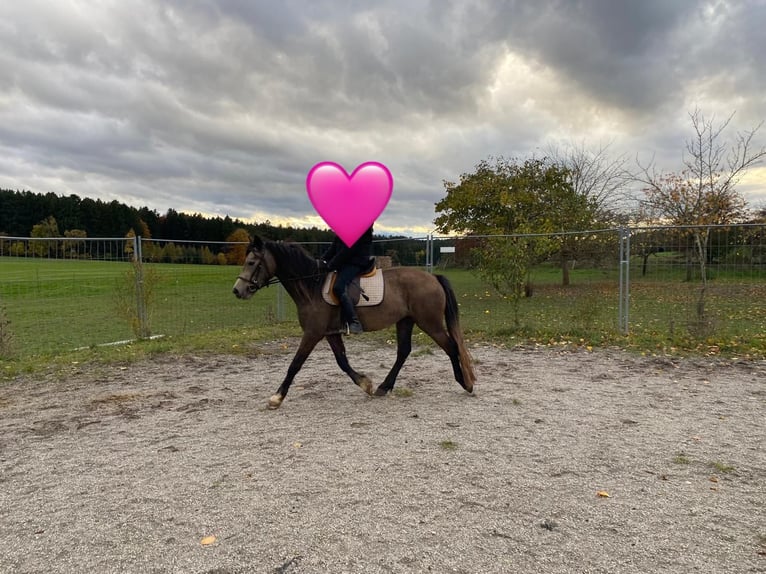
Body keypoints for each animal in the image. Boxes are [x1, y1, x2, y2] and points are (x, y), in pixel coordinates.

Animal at [232, 236, 475, 409]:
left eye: (251, 262)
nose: (237, 290)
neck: (312, 286)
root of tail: (433, 277)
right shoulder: (330, 333)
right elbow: (342, 361)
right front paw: (365, 384)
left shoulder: (313, 332)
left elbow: (295, 364)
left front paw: (277, 397)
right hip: (406, 321)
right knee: (404, 351)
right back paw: (383, 387)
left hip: (429, 322)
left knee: (451, 347)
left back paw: (466, 383)